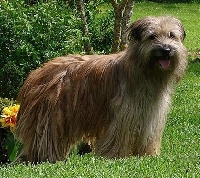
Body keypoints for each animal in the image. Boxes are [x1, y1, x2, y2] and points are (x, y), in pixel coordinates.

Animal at [14, 15, 187, 163]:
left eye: (172, 35)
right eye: (152, 37)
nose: (166, 50)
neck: (145, 71)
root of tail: (35, 74)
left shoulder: (150, 113)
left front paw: (147, 154)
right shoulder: (124, 112)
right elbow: (119, 135)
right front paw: (116, 156)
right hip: (51, 115)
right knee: (45, 138)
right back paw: (43, 158)